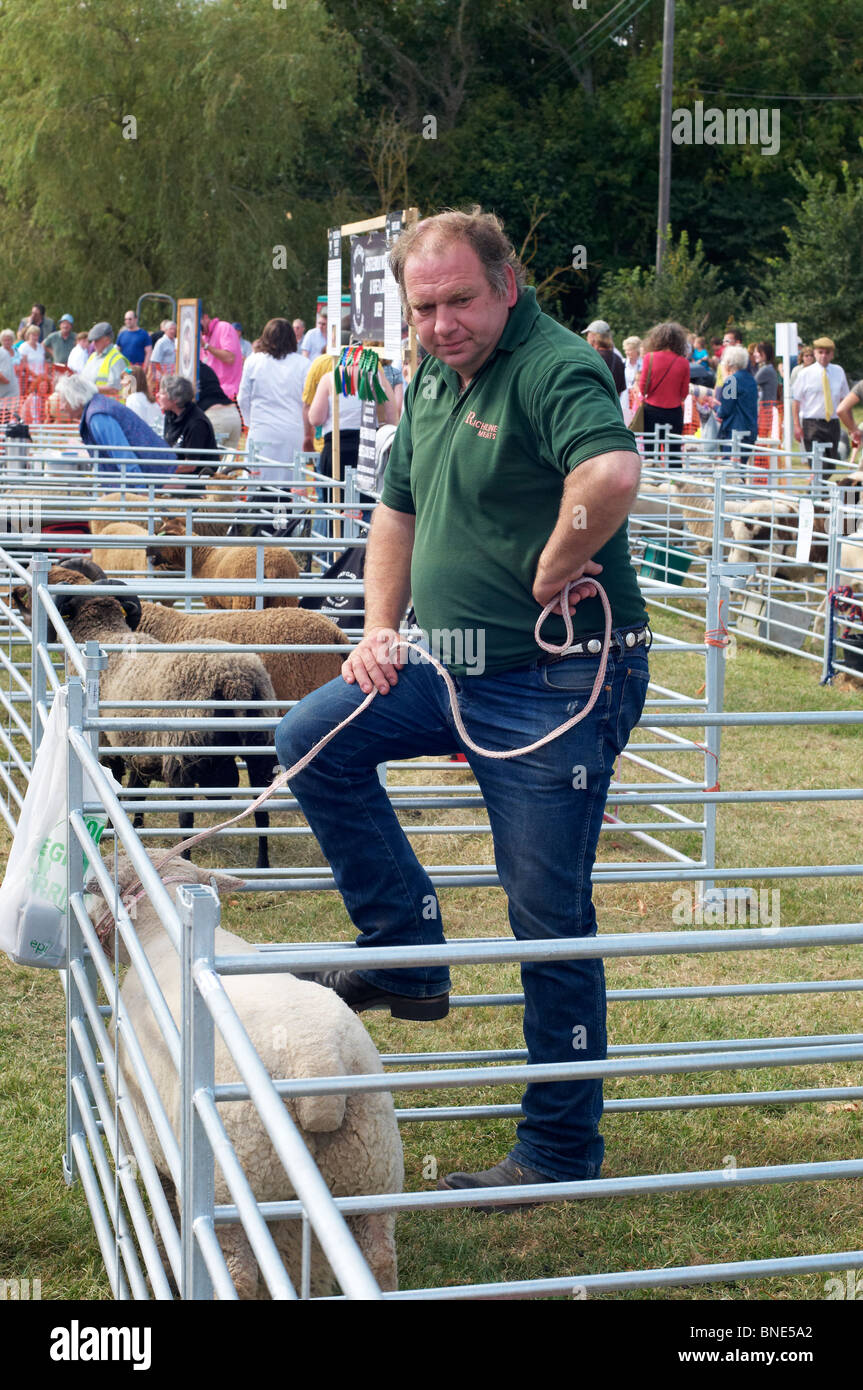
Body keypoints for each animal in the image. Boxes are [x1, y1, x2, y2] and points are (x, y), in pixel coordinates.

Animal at [146, 517, 297, 608]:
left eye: (162, 534)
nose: (147, 549)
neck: (204, 559)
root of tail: (273, 565)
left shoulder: (213, 602)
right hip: (285, 600)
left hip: (246, 601)